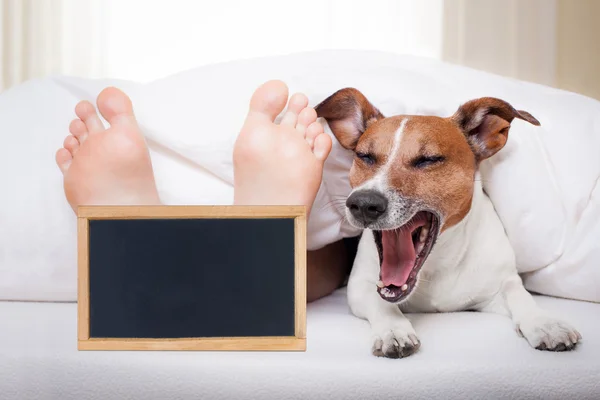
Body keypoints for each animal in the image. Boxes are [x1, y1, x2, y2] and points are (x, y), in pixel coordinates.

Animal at [316, 90, 584, 360]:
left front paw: (545, 324)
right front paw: (393, 330)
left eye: (429, 160)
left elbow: (520, 295)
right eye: (365, 156)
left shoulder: (499, 286)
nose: (363, 203)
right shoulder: (359, 287)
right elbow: (380, 302)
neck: (436, 265)